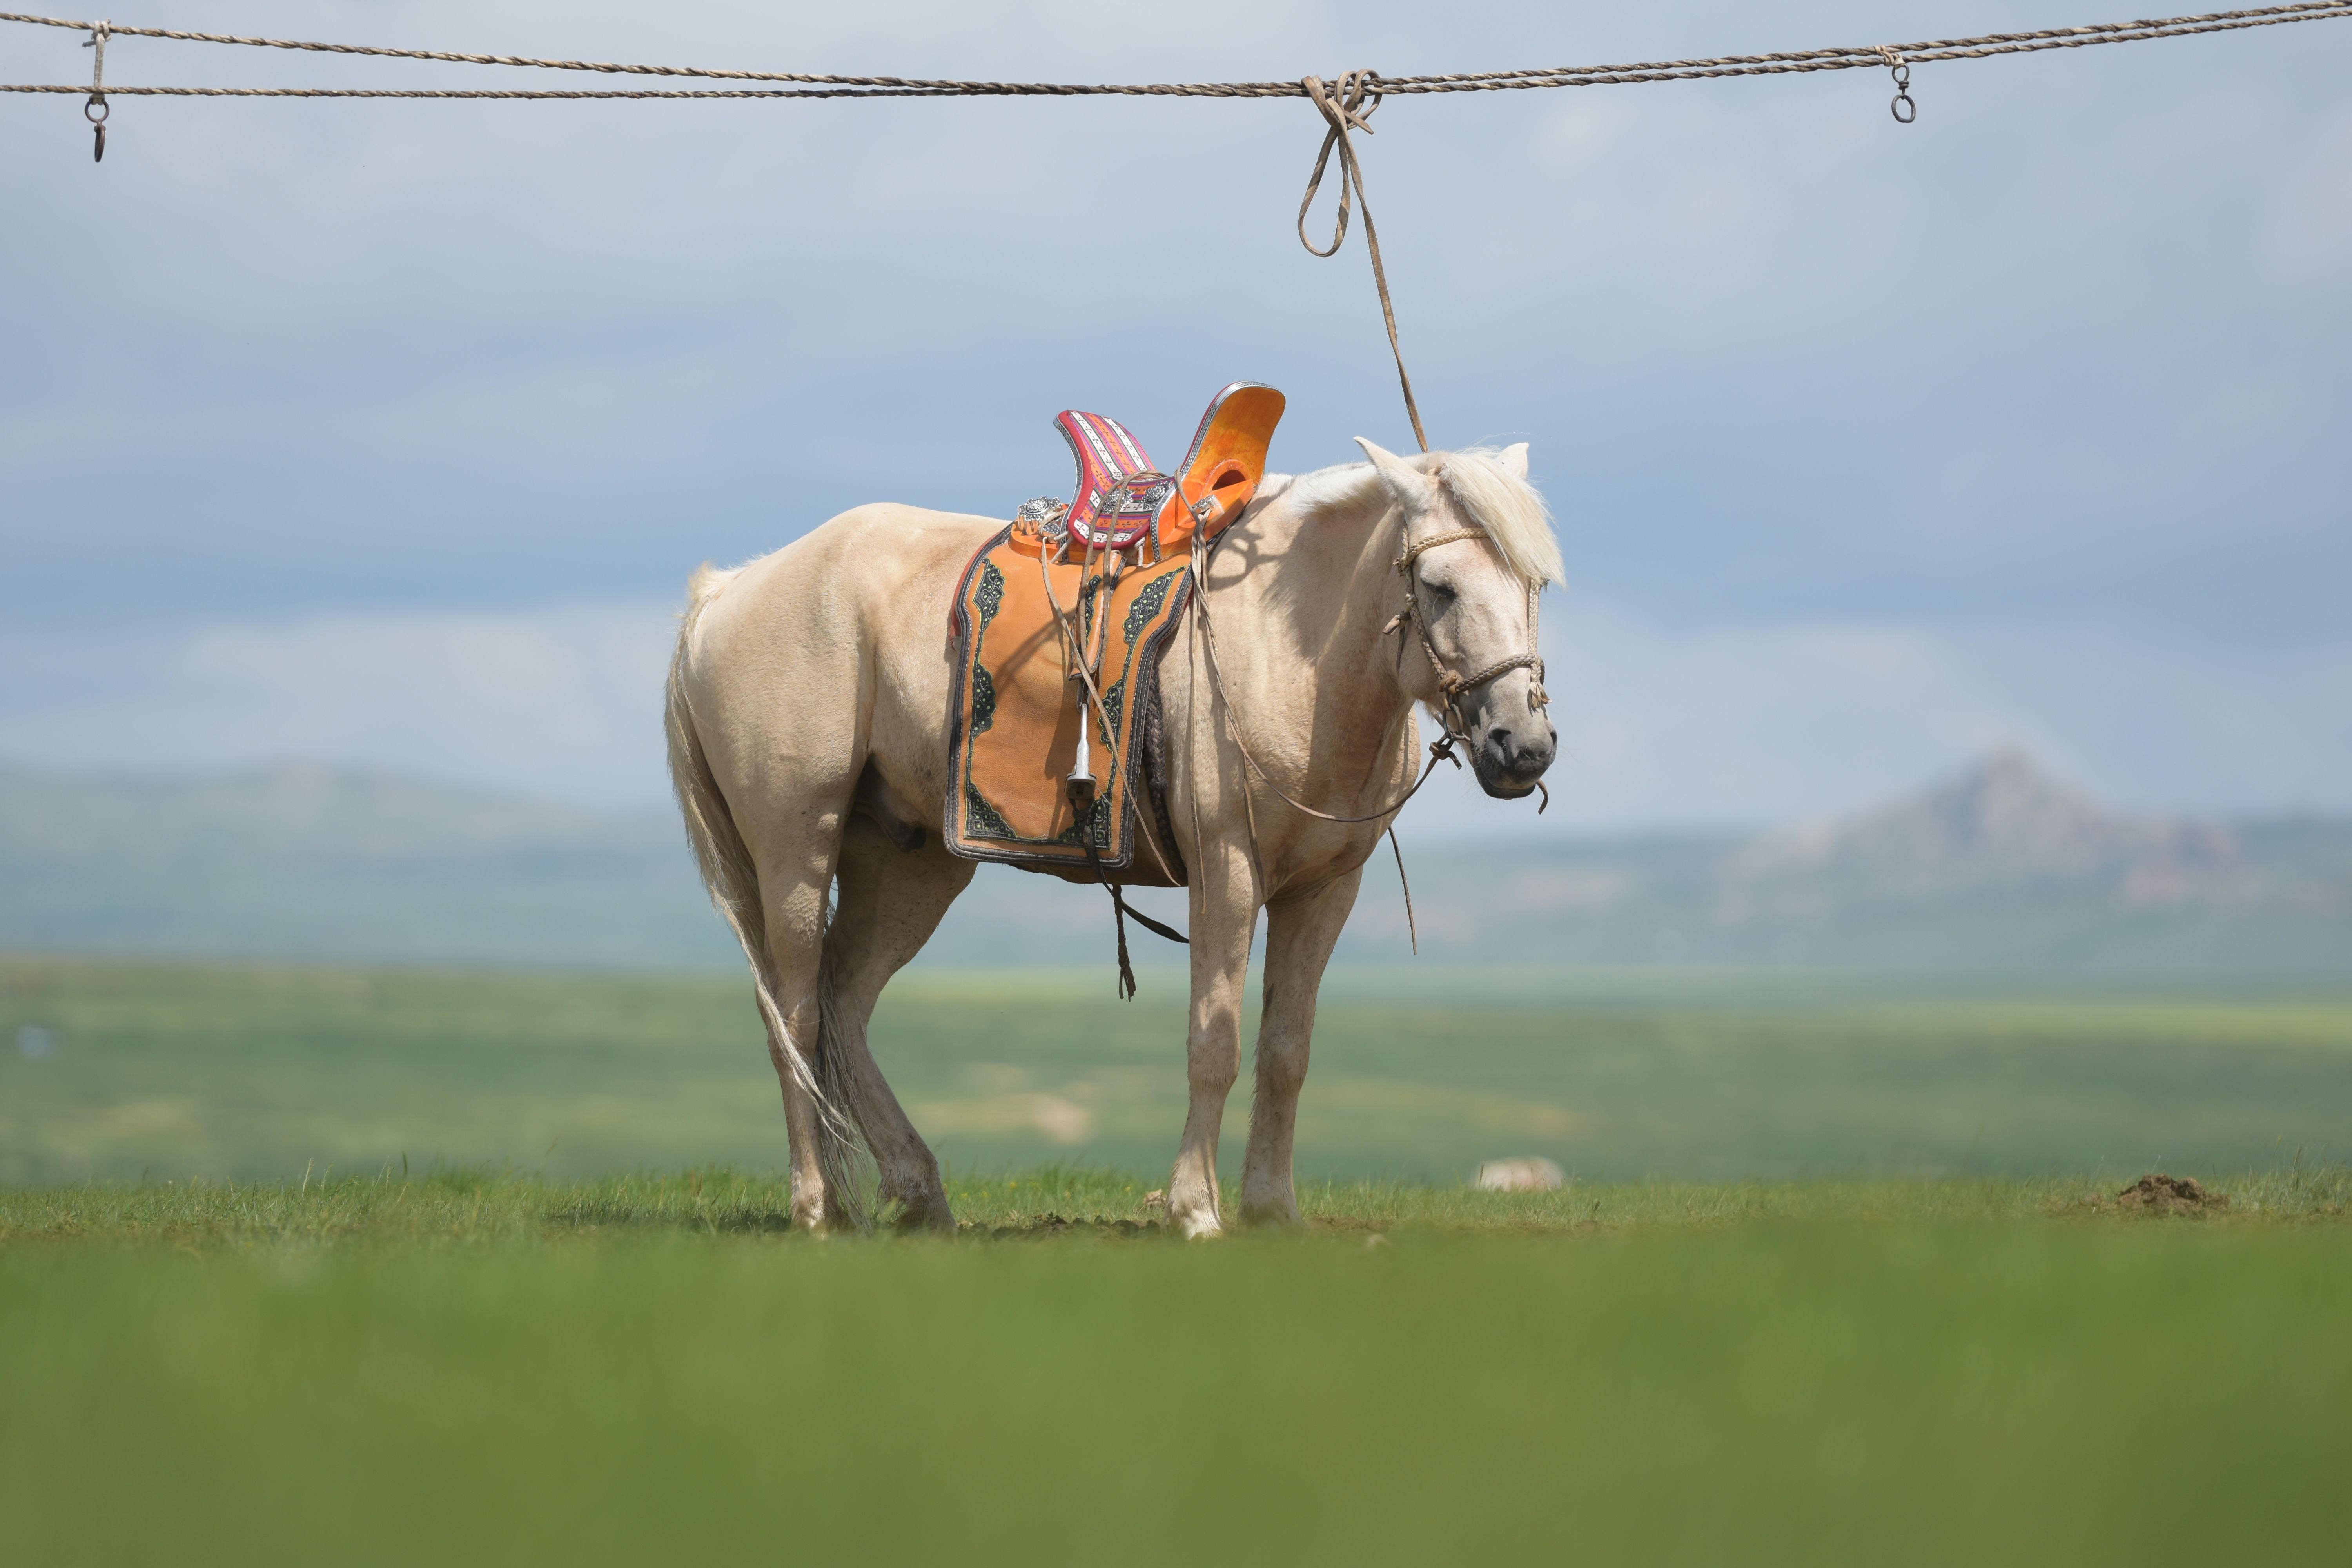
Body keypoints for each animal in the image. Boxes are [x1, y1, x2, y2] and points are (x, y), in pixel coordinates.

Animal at [663, 435, 1563, 1238]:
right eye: (1440, 586)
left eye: (1534, 584)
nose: (1523, 746)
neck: (1289, 649)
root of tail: (730, 591)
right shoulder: (1228, 873)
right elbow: (1215, 1039)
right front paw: (1196, 1210)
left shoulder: (1324, 890)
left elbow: (1286, 1050)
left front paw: (1272, 1208)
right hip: (796, 849)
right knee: (795, 1017)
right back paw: (816, 1208)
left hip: (906, 867)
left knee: (845, 1008)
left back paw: (918, 1194)